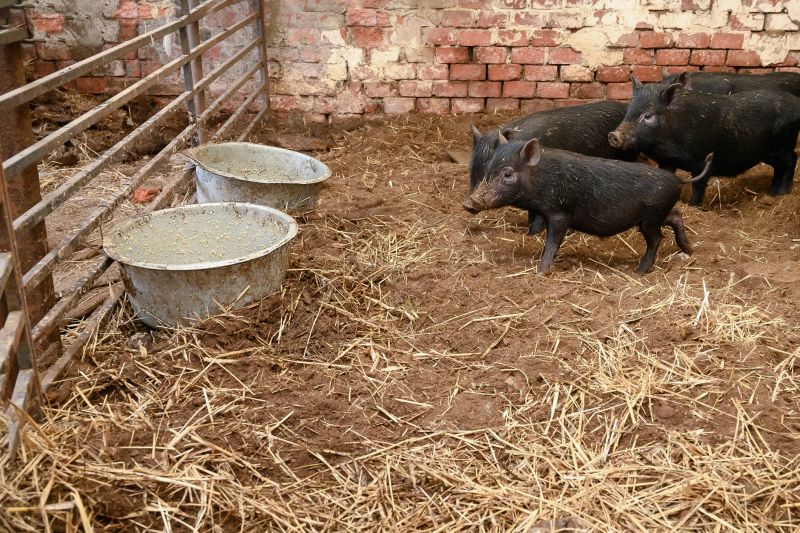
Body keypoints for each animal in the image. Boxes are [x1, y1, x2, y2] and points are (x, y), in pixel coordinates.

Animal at [462, 137, 713, 275]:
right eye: (489, 169)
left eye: (507, 174)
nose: (468, 202)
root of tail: (678, 180)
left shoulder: (560, 213)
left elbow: (553, 242)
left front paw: (541, 272)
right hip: (656, 214)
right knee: (676, 216)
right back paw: (689, 250)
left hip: (651, 217)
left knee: (658, 238)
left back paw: (640, 271)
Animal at [608, 79, 800, 206]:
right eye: (629, 110)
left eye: (648, 115)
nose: (613, 135)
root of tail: (796, 104)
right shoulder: (667, 161)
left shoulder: (701, 160)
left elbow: (699, 185)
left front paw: (693, 205)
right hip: (769, 153)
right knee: (781, 167)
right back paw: (771, 193)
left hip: (782, 146)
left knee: (792, 160)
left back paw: (782, 193)